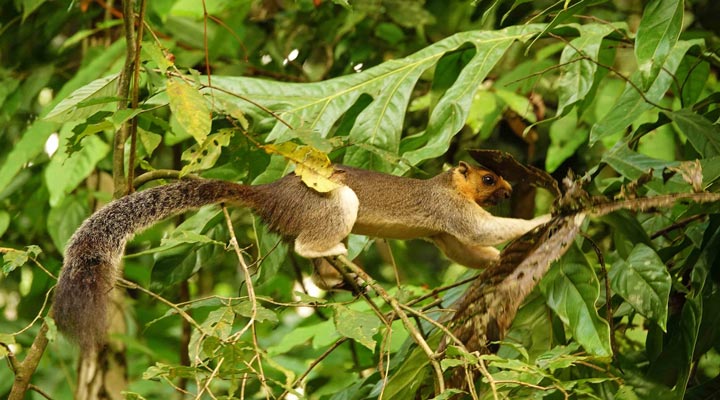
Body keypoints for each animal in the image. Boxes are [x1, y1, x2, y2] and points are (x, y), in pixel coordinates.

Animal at [54, 161, 552, 352]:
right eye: (488, 179)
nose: (510, 190)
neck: (448, 184)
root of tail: (269, 196)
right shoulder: (450, 211)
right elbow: (478, 229)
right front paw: (542, 220)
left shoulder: (443, 234)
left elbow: (466, 247)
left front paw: (497, 260)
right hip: (332, 203)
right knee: (307, 244)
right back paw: (333, 253)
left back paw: (337, 277)